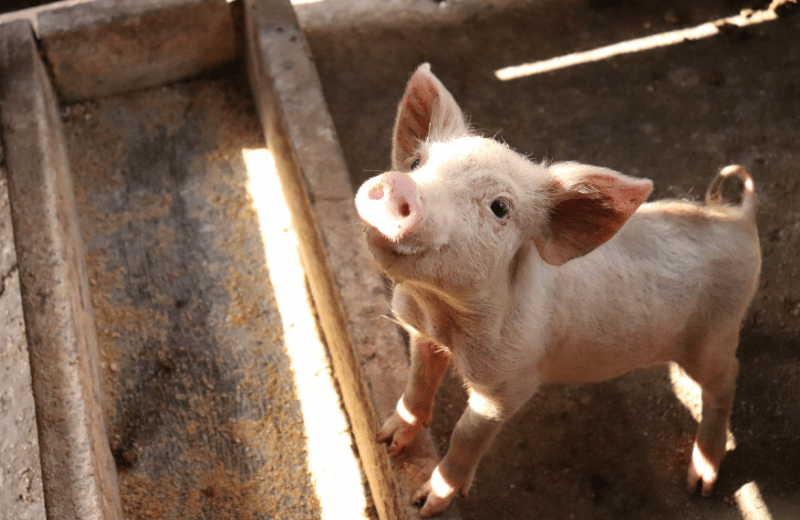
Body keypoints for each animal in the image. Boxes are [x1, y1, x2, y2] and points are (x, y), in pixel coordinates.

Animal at [355, 63, 761, 517]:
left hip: (713, 337)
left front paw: (425, 503)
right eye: (416, 162)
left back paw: (700, 484)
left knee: (726, 379)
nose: (399, 186)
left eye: (500, 208)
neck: (443, 317)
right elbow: (416, 385)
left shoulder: (511, 383)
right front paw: (385, 441)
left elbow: (466, 434)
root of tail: (740, 220)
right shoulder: (422, 335)